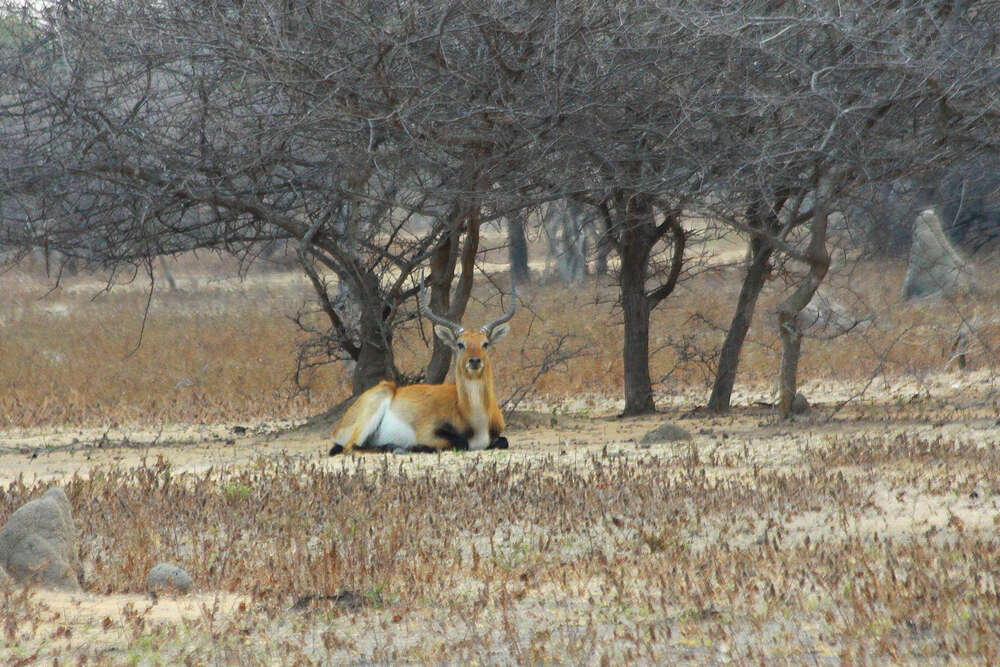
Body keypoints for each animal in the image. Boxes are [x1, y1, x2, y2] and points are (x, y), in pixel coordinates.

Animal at [328, 280, 516, 456]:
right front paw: (412, 447)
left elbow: (504, 441)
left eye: (485, 343)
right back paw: (395, 447)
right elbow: (461, 443)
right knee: (351, 448)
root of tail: (338, 427)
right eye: (460, 344)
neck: (475, 418)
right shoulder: (428, 433)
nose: (475, 361)